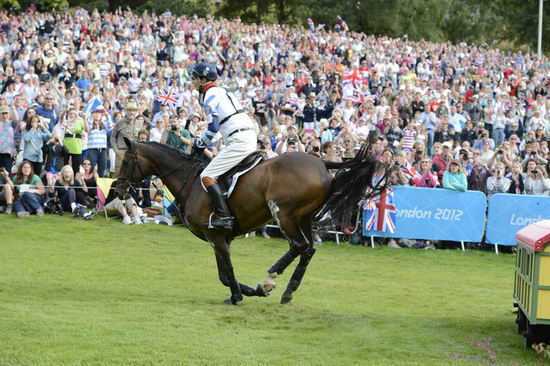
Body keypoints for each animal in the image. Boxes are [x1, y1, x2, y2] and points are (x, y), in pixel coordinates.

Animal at [115, 137, 388, 304]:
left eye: (126, 161)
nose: (118, 190)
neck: (191, 182)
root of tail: (322, 162)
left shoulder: (216, 237)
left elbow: (227, 272)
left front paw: (239, 296)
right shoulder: (220, 238)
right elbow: (224, 275)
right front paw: (248, 291)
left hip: (284, 215)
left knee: (299, 246)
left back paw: (270, 278)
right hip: (305, 217)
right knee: (309, 249)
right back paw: (288, 291)